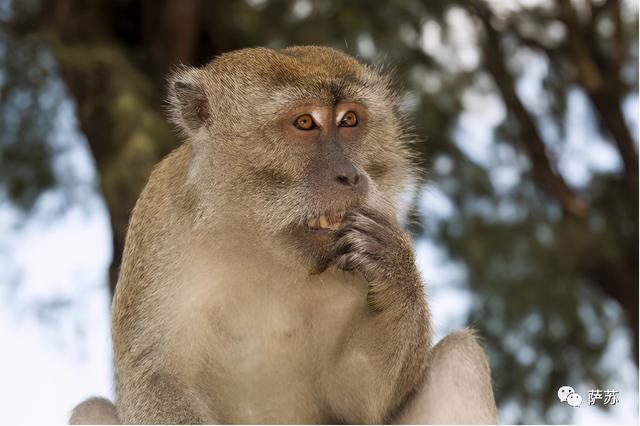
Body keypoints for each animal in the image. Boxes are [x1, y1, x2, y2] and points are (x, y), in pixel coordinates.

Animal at [71, 45, 500, 424]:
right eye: (305, 123)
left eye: (349, 120)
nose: (350, 175)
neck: (261, 243)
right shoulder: (160, 223)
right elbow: (157, 378)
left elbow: (358, 395)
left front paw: (394, 268)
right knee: (92, 410)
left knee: (460, 356)